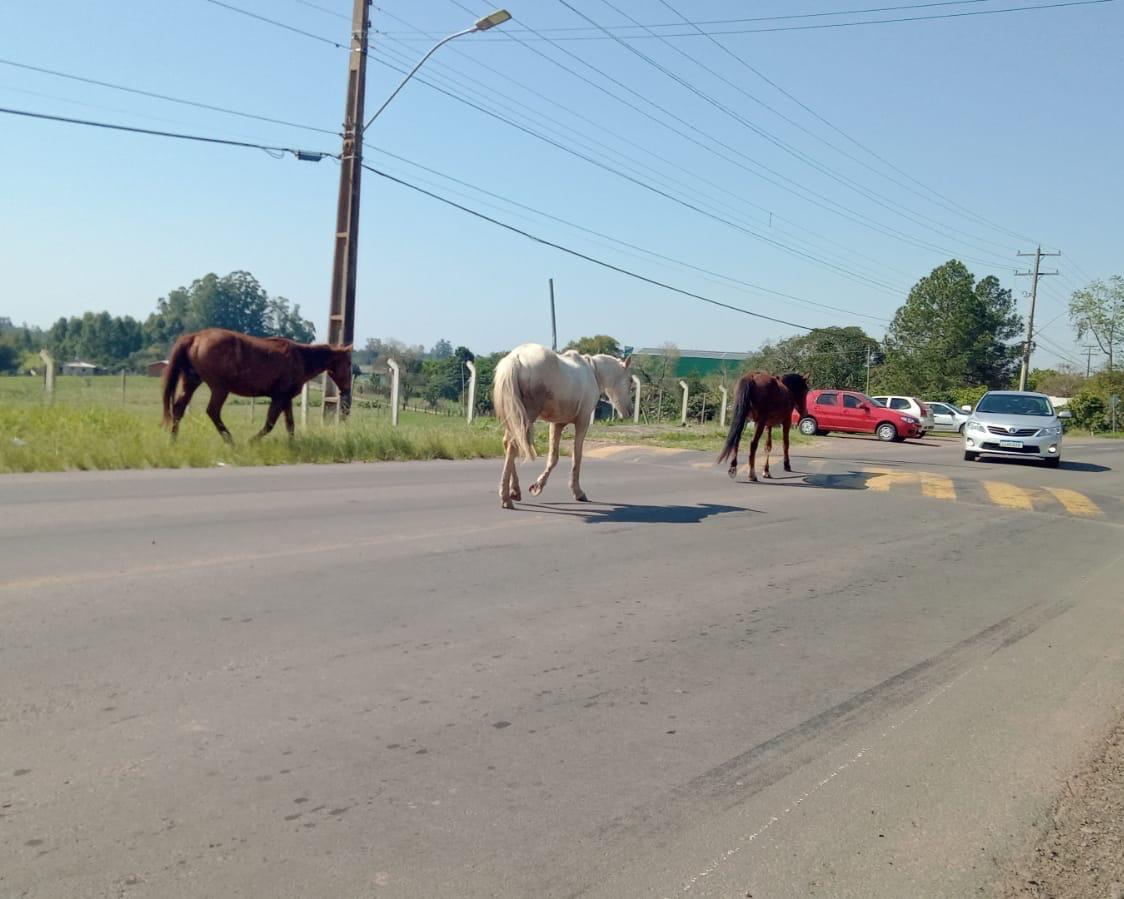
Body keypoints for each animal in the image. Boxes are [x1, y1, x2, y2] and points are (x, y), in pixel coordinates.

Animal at [162, 328, 350, 445]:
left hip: (192, 381)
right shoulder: (279, 398)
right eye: (348, 364)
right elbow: (270, 423)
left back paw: (173, 440)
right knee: (212, 411)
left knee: (178, 408)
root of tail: (195, 337)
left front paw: (293, 444)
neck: (301, 358)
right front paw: (252, 441)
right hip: (219, 388)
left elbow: (290, 424)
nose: (346, 390)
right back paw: (230, 441)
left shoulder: (286, 399)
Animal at [492, 343, 633, 510]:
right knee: (513, 445)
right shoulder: (582, 421)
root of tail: (516, 358)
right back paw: (505, 498)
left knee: (508, 443)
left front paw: (538, 486)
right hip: (527, 416)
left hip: (514, 417)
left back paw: (514, 491)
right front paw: (577, 492)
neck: (593, 372)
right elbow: (576, 456)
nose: (630, 411)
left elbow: (553, 458)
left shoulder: (557, 424)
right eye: (630, 381)